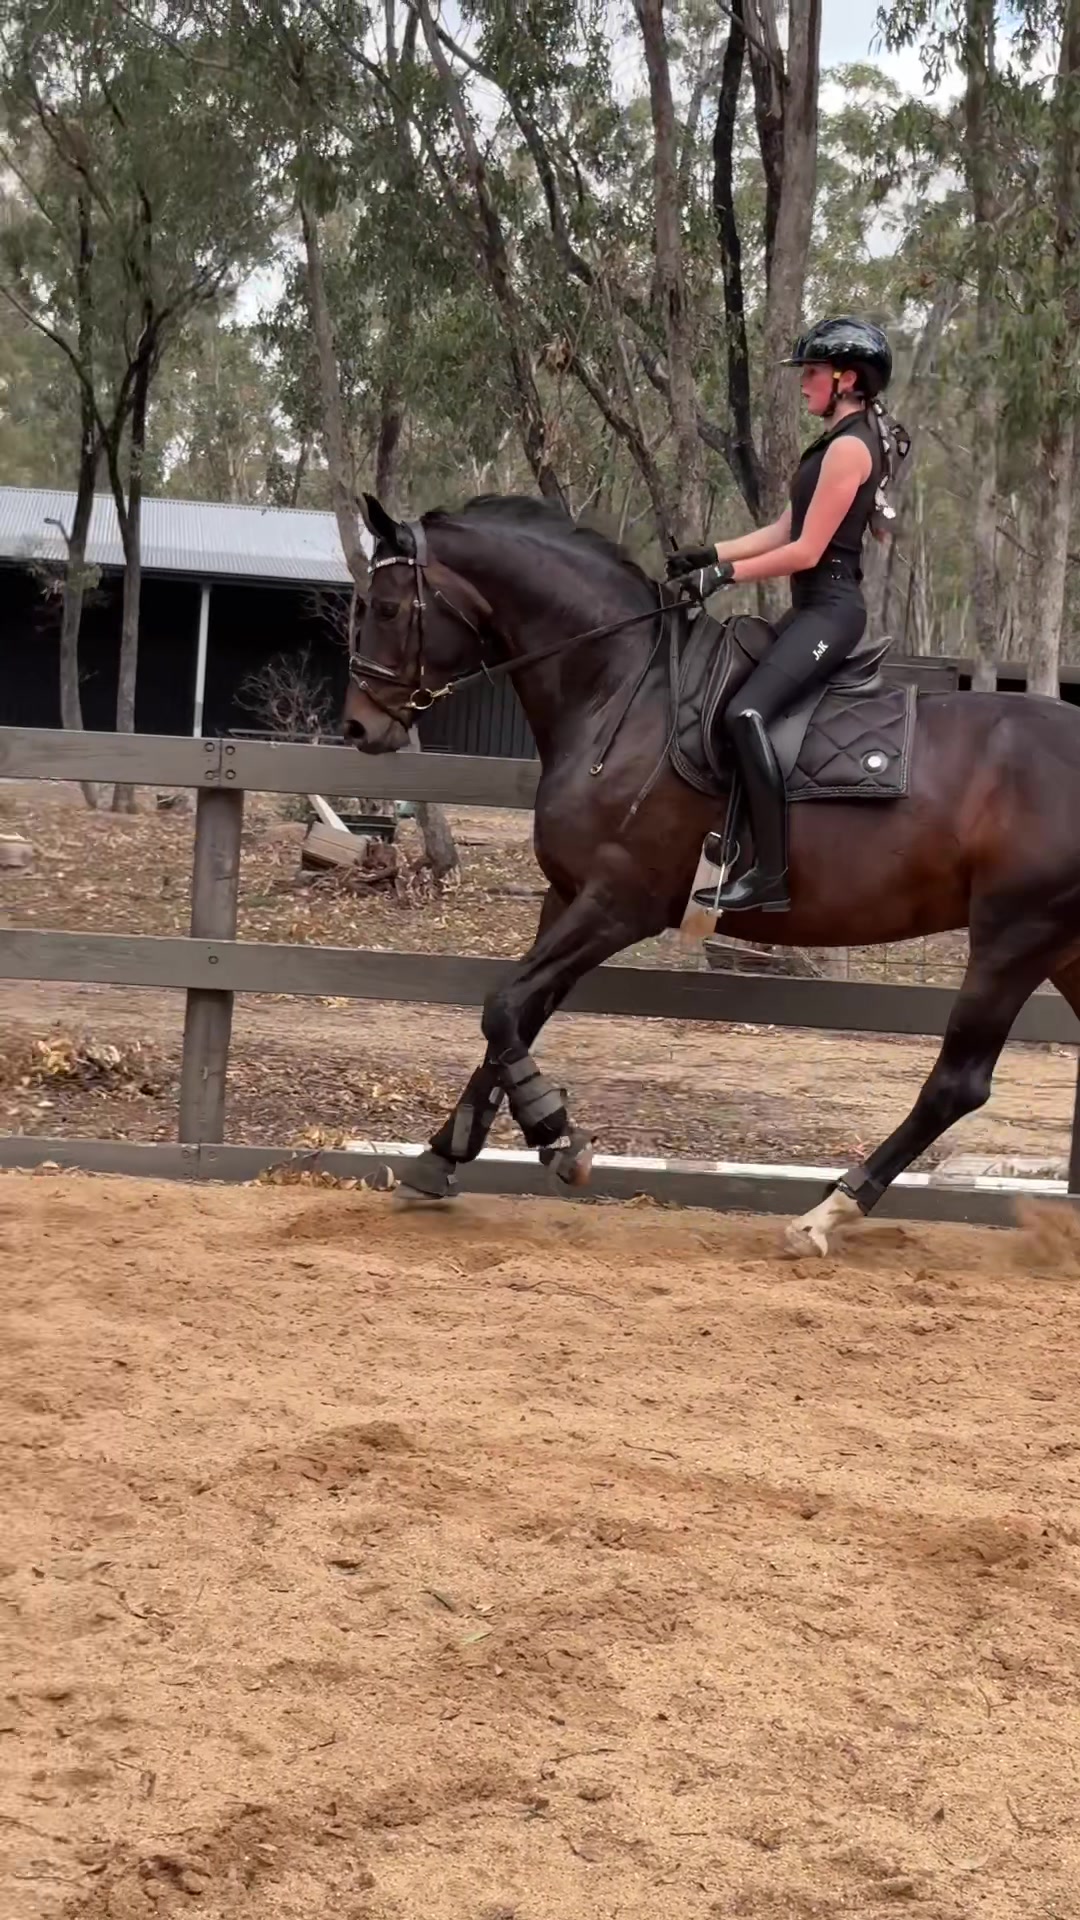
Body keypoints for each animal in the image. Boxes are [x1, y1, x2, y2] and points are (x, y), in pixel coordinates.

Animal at [344, 492, 1080, 1255]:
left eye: (387, 608)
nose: (359, 726)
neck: (622, 693)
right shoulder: (566, 896)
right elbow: (515, 1015)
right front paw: (442, 1157)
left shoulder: (618, 905)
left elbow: (503, 1006)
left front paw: (559, 1136)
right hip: (1061, 949)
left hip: (1014, 937)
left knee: (958, 1083)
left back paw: (828, 1212)